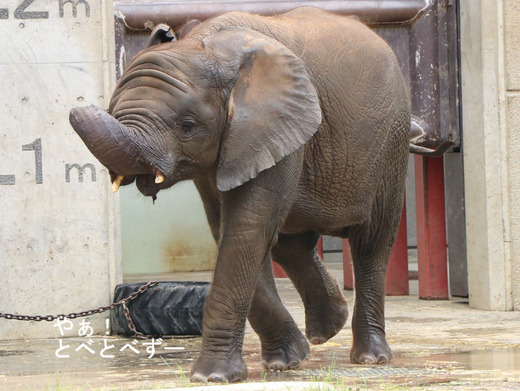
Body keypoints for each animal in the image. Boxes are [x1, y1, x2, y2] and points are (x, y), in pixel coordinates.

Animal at [69, 7, 418, 384]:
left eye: (187, 126)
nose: (75, 107)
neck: (205, 46)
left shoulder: (275, 125)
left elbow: (246, 229)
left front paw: (211, 377)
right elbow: (229, 230)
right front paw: (285, 361)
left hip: (392, 144)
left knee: (370, 244)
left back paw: (370, 357)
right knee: (291, 245)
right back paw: (326, 329)